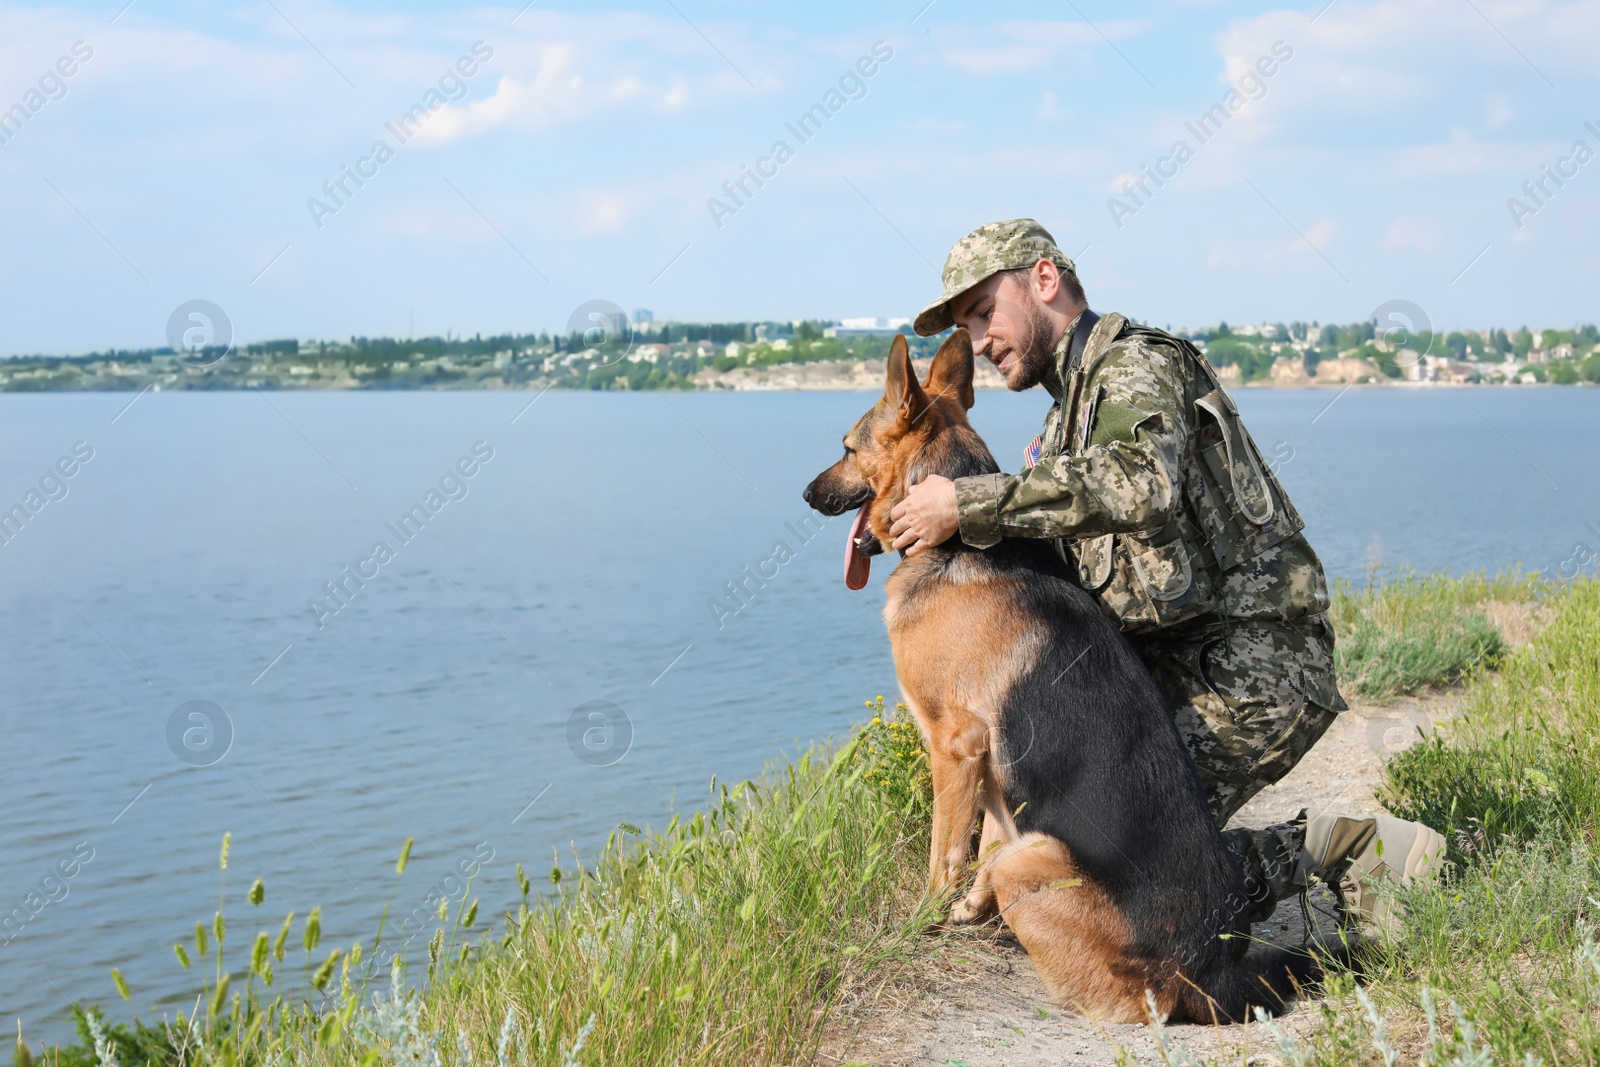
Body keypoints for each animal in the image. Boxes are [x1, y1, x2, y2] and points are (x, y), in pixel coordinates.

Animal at [800, 329, 1324, 1023]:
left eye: (847, 448)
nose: (806, 495)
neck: (957, 545)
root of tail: (1203, 973)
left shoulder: (955, 747)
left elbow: (945, 854)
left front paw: (921, 921)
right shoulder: (993, 769)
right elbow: (983, 842)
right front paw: (963, 912)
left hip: (1038, 857)